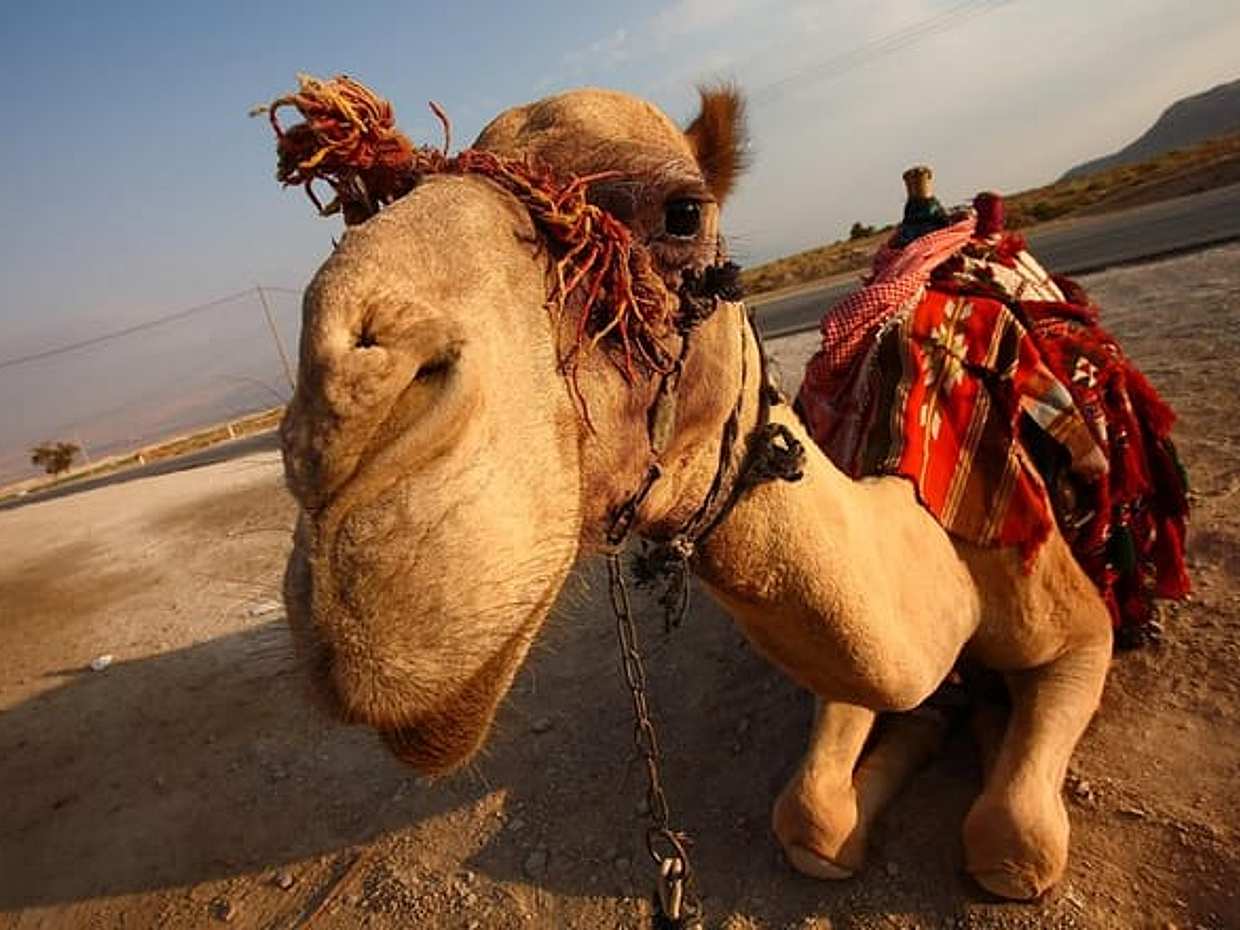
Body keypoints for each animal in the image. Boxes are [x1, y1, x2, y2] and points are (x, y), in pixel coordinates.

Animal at [269, 77, 1117, 903]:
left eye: (683, 213)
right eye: (376, 200)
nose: (334, 445)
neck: (935, 524)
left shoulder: (1085, 628)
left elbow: (1014, 844)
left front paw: (977, 725)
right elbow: (813, 815)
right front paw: (933, 726)